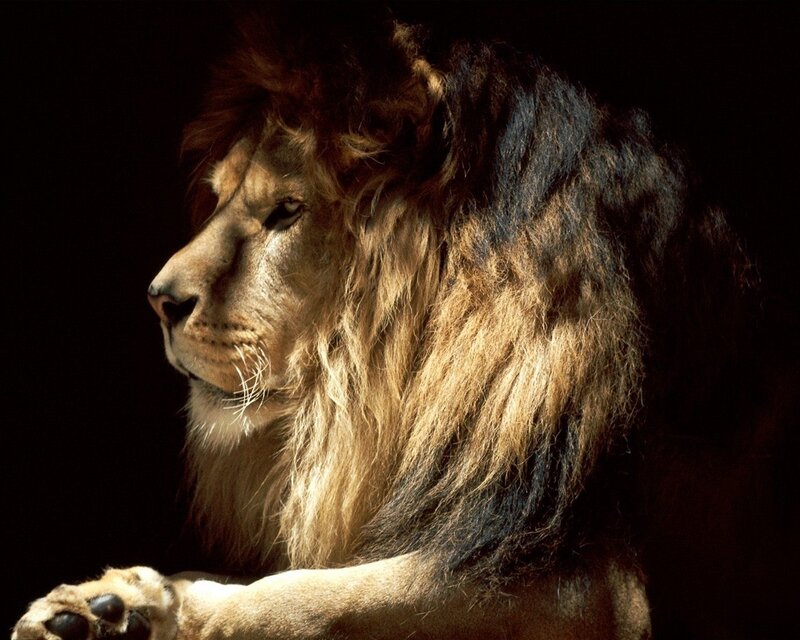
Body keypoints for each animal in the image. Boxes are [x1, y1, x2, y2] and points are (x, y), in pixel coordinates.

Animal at [13, 7, 759, 640]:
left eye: (287, 211)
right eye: (220, 198)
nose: (159, 299)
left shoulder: (601, 588)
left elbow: (310, 593)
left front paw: (176, 613)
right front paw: (114, 604)